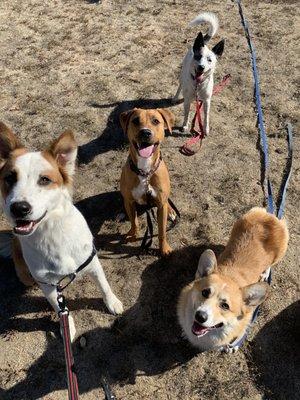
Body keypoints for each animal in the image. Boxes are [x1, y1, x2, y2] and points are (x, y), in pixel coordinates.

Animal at [0, 122, 123, 340]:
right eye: (9, 178)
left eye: (44, 180)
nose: (19, 208)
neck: (52, 234)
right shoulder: (47, 285)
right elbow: (60, 308)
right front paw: (67, 328)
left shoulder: (93, 262)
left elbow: (104, 285)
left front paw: (113, 303)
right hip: (27, 277)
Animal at [119, 107, 176, 256]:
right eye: (135, 121)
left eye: (156, 121)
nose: (145, 132)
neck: (145, 172)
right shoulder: (129, 201)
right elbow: (134, 222)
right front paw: (132, 235)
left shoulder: (161, 205)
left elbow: (162, 231)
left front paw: (164, 249)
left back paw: (171, 212)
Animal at [178, 208, 288, 352]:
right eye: (205, 292)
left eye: (225, 306)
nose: (200, 316)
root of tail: (269, 215)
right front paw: (185, 333)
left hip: (280, 252)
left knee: (271, 264)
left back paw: (265, 273)